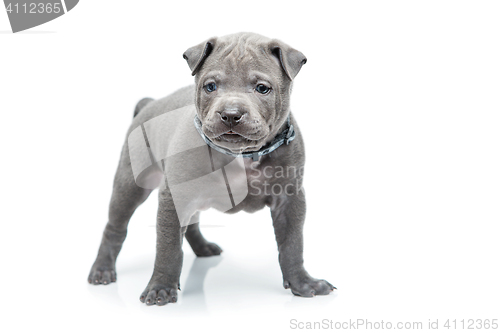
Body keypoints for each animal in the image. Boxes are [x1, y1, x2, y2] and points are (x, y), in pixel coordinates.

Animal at [89, 32, 336, 304]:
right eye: (210, 87)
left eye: (262, 88)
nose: (231, 114)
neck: (242, 154)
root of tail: (149, 104)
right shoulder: (173, 196)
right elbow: (168, 247)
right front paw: (160, 287)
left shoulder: (289, 199)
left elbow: (292, 244)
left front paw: (303, 283)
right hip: (130, 185)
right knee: (116, 227)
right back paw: (102, 269)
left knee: (191, 223)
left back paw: (203, 247)